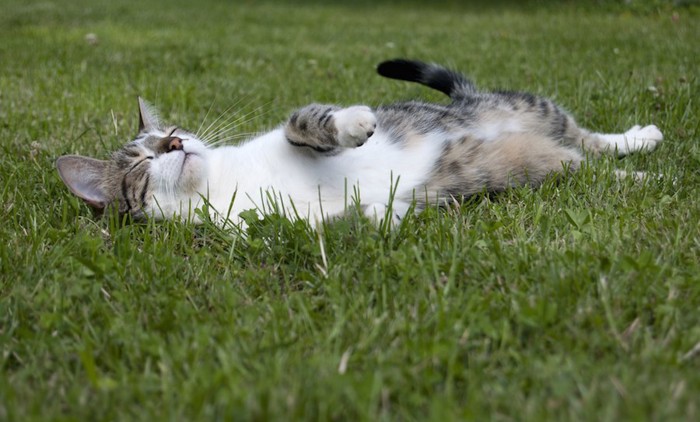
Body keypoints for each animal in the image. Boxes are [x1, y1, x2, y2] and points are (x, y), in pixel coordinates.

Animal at [54, 59, 660, 227]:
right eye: (142, 159)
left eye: (172, 132)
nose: (177, 145)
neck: (224, 185)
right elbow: (360, 220)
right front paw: (390, 216)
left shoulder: (285, 134)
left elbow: (302, 122)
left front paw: (351, 124)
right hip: (548, 162)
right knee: (583, 162)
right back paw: (637, 176)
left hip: (529, 109)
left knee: (589, 137)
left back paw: (641, 140)